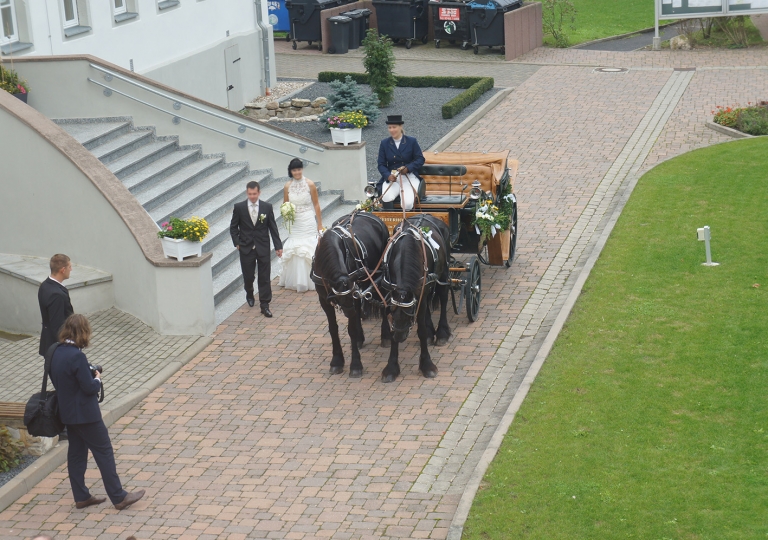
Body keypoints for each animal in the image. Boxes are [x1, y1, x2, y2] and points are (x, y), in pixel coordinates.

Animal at [308, 211, 390, 376]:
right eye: (340, 297)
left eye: (349, 295)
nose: (348, 310)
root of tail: (365, 212)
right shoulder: (324, 300)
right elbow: (333, 329)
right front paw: (337, 361)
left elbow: (351, 329)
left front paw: (356, 365)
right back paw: (360, 338)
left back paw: (385, 335)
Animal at [382, 213, 452, 382]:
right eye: (392, 312)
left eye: (410, 313)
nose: (400, 336)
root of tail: (425, 214)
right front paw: (391, 368)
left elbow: (421, 331)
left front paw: (427, 365)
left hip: (444, 273)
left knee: (444, 298)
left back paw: (442, 333)